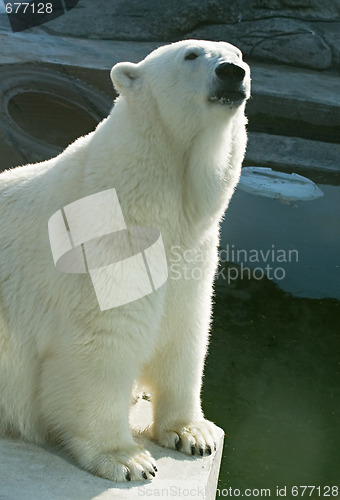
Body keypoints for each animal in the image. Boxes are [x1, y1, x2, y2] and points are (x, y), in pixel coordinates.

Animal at [0, 42, 250, 480]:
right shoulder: (105, 244)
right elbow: (101, 343)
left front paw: (192, 433)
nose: (232, 73)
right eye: (191, 55)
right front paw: (127, 458)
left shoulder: (193, 249)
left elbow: (185, 331)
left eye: (237, 53)